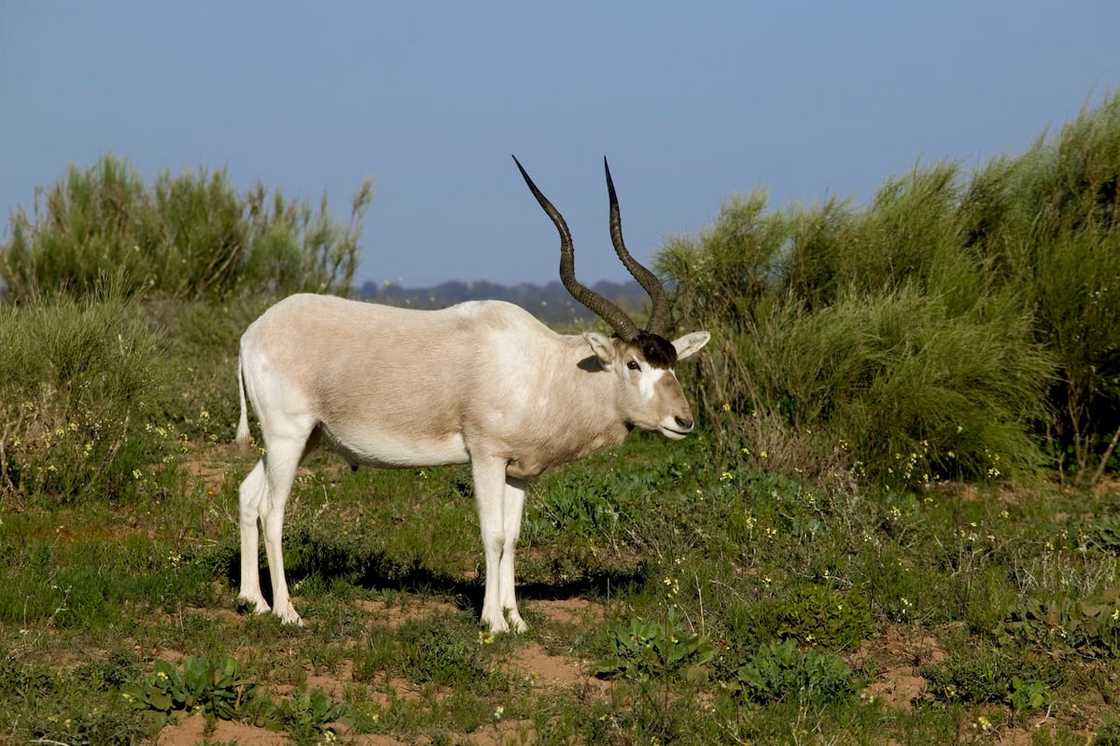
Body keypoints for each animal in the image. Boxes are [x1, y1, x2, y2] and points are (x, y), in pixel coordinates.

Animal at [232, 155, 712, 627]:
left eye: (671, 362)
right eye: (633, 363)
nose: (683, 421)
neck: (546, 368)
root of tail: (252, 333)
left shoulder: (518, 472)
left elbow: (513, 537)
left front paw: (516, 619)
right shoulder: (486, 457)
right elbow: (493, 534)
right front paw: (492, 622)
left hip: (303, 439)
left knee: (249, 495)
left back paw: (253, 601)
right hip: (289, 436)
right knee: (272, 510)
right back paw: (287, 612)